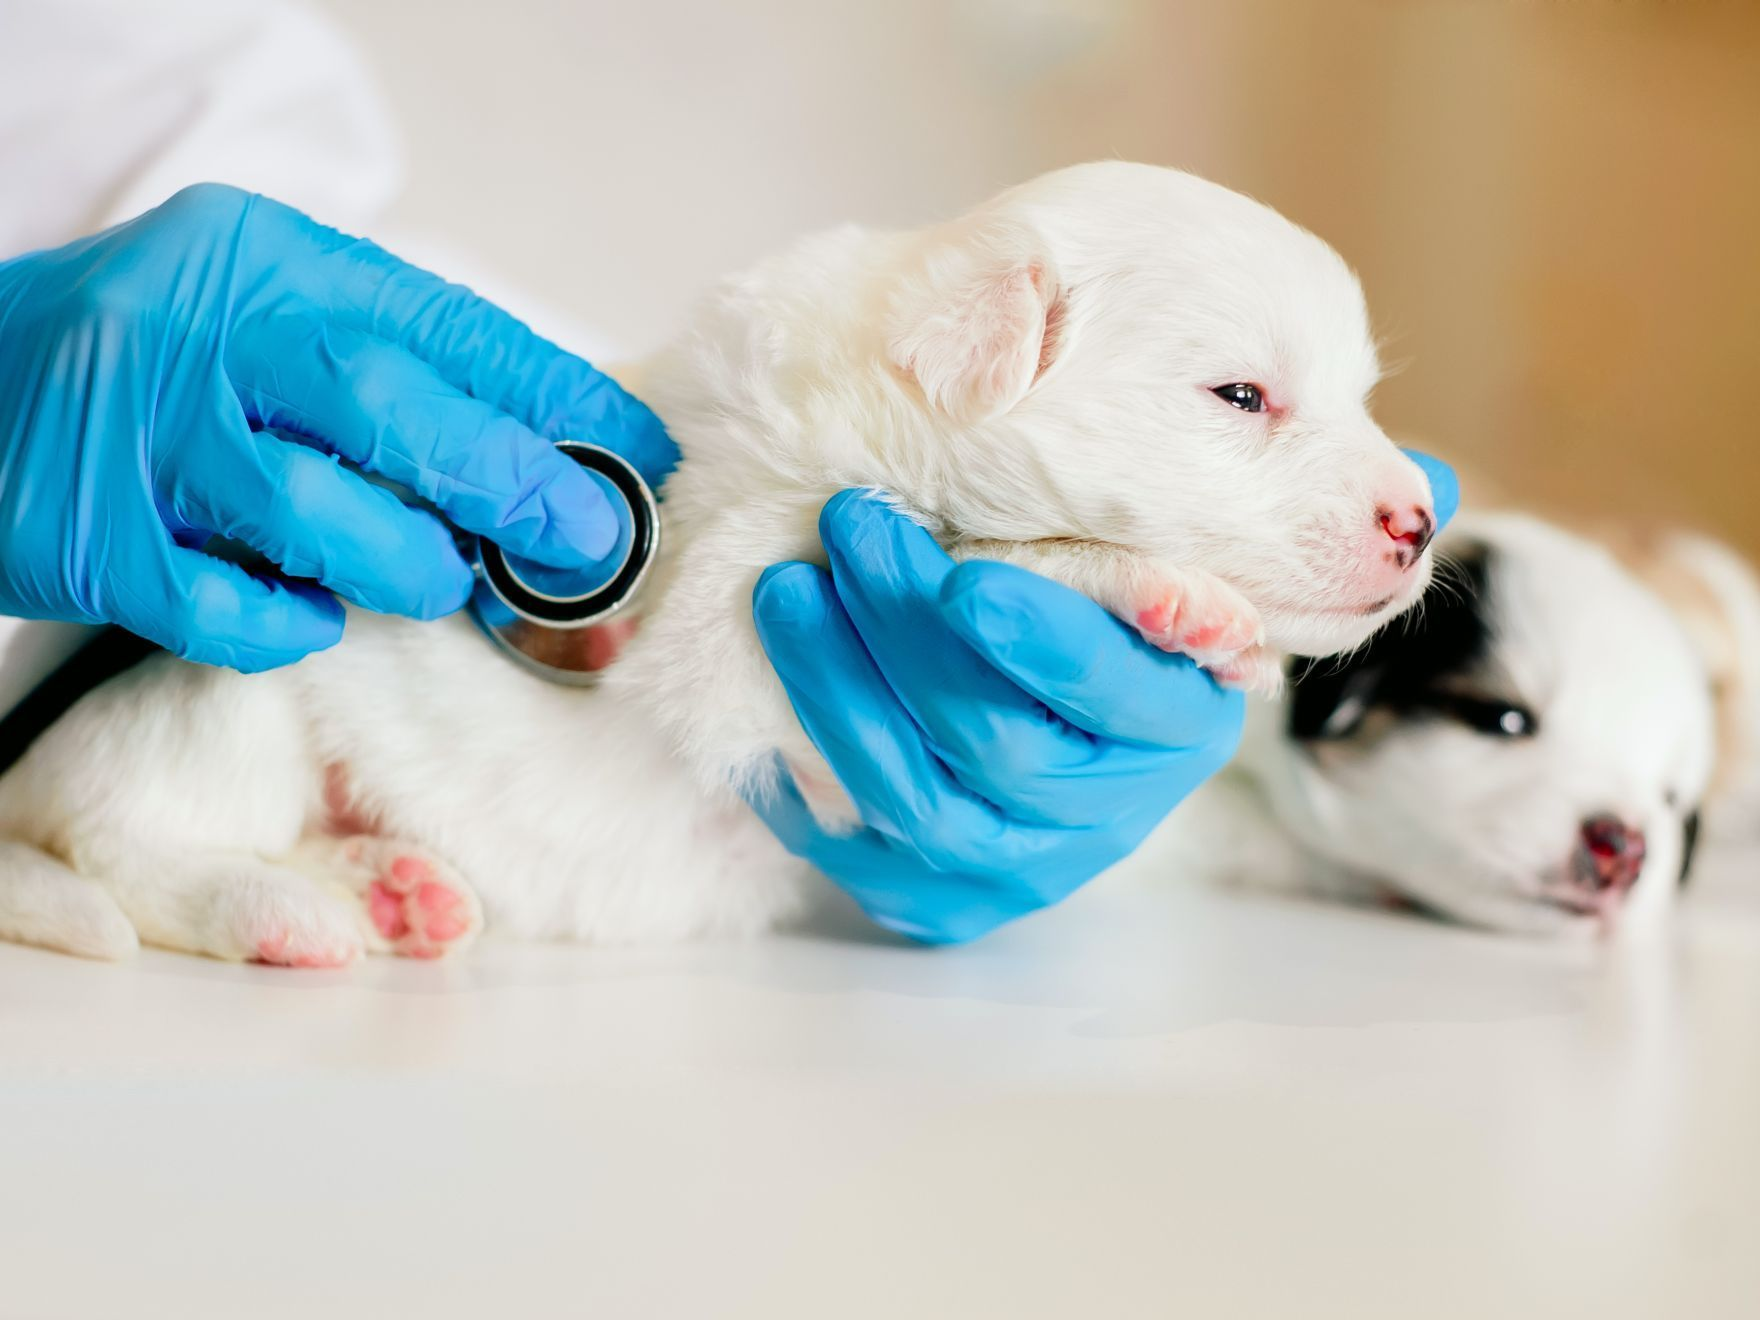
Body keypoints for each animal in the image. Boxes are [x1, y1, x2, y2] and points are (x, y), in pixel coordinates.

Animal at [0, 168, 1436, 971]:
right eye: (1240, 396)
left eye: (1361, 395)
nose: (1420, 519)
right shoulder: (725, 634)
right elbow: (982, 551)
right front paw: (1149, 589)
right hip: (224, 675)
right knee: (123, 840)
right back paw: (277, 911)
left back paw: (391, 885)